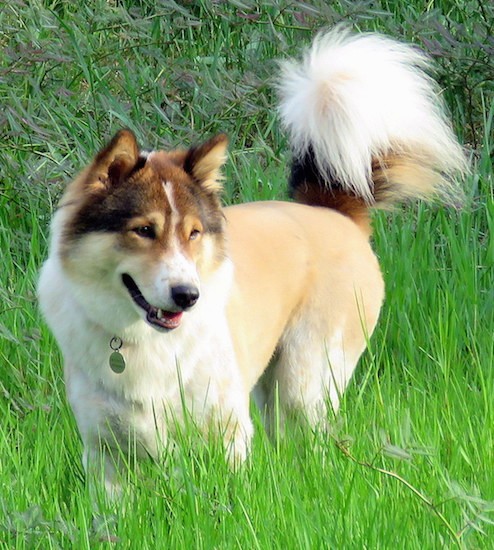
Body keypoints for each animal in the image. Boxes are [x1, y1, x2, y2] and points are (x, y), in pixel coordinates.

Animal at [38, 28, 466, 498]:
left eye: (194, 233)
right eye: (144, 230)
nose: (188, 296)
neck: (143, 342)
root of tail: (332, 213)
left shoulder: (226, 431)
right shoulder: (106, 455)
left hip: (304, 384)